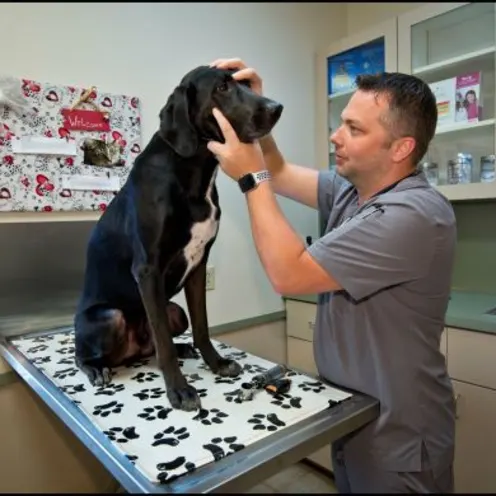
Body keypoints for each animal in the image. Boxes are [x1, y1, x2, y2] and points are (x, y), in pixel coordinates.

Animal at [73, 65, 282, 410]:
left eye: (246, 83)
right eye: (222, 87)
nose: (276, 108)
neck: (193, 170)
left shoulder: (198, 266)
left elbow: (202, 326)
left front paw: (216, 362)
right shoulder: (148, 270)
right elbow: (165, 345)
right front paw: (179, 390)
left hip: (174, 311)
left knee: (156, 344)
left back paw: (181, 349)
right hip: (109, 317)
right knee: (86, 355)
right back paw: (96, 368)